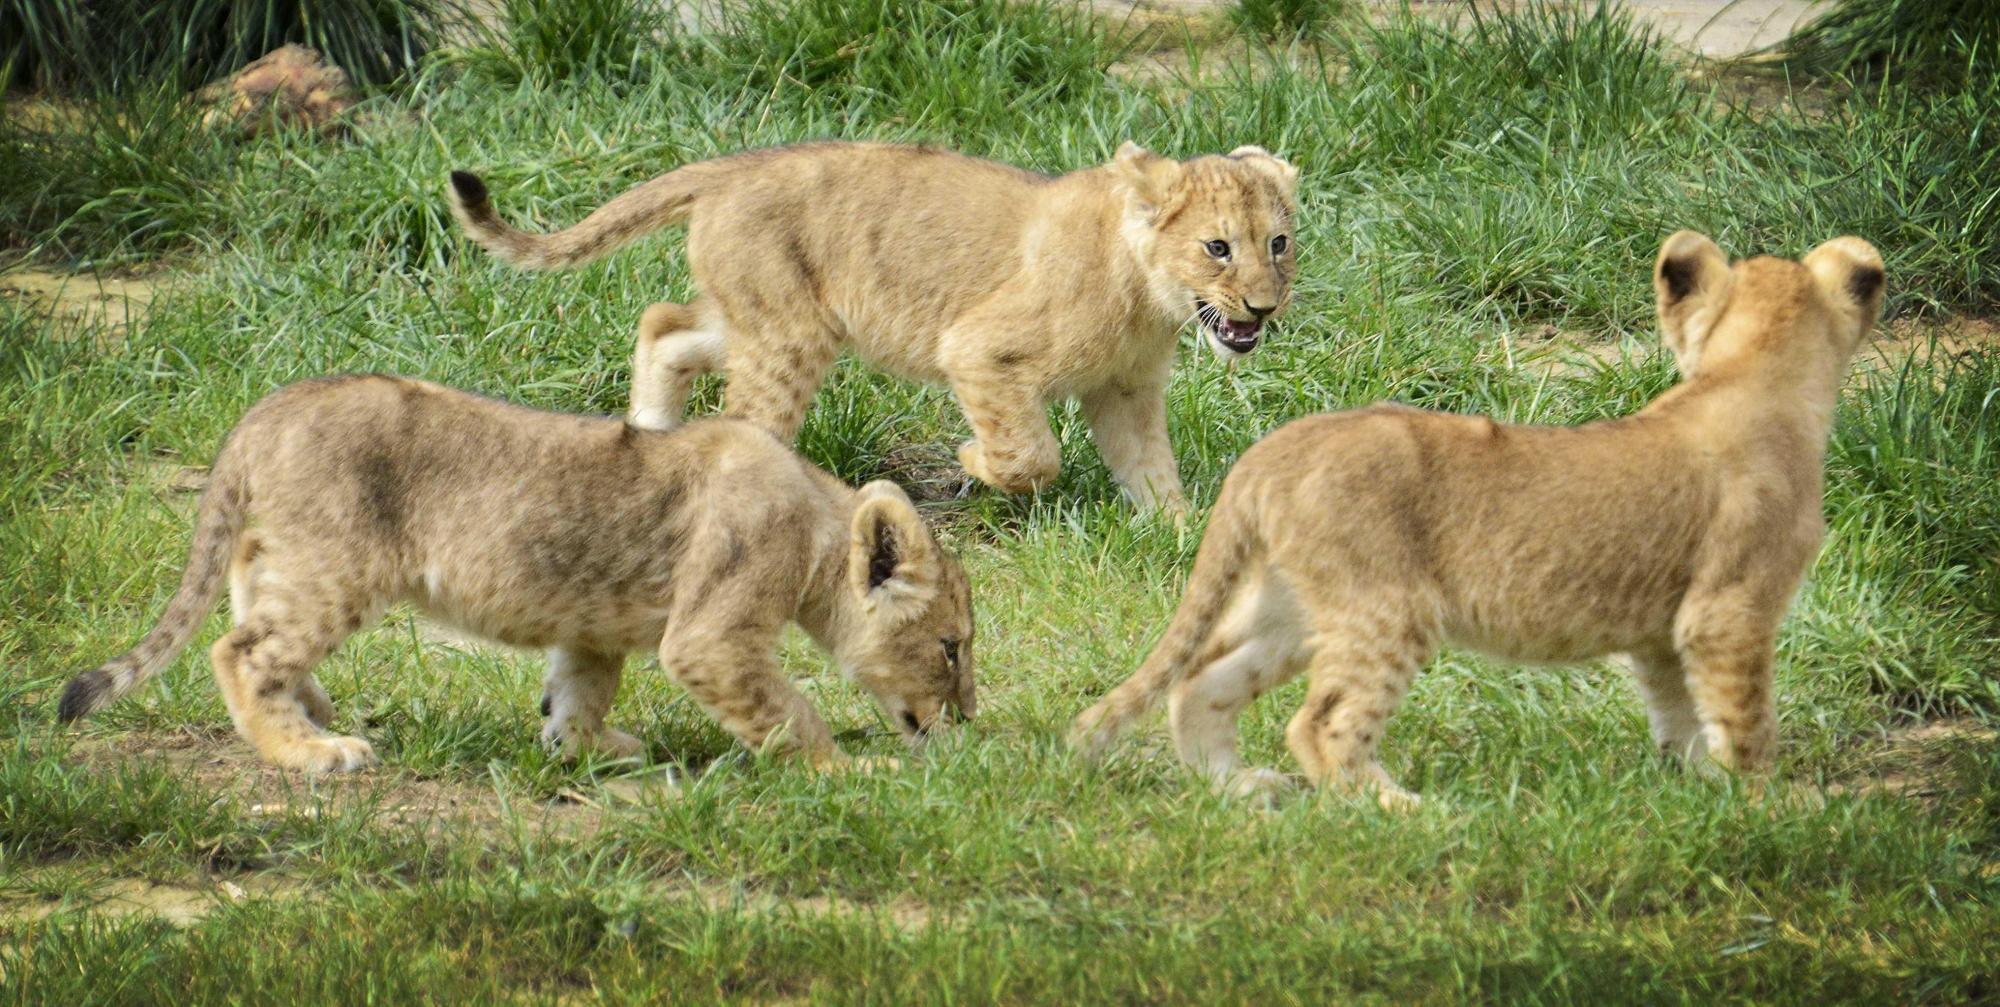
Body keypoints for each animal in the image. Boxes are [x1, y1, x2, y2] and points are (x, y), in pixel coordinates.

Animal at [56, 375, 976, 773]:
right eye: (953, 647)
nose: (967, 721)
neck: (817, 523)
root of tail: (269, 406)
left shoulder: (594, 627)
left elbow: (580, 689)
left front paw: (584, 747)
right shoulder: (712, 635)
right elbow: (789, 711)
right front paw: (846, 773)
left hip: (296, 549)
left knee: (249, 592)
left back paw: (313, 709)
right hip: (339, 564)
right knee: (240, 650)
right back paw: (311, 751)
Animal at [446, 140, 1300, 515]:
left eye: (1279, 243)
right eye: (1217, 248)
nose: (1262, 308)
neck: (1149, 299)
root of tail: (730, 166)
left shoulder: (1124, 391)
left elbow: (1151, 468)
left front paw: (1180, 538)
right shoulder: (980, 348)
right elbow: (1031, 455)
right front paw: (971, 461)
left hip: (764, 321)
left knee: (663, 325)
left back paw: (649, 439)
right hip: (787, 339)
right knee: (744, 420)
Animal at [1071, 232, 1886, 807]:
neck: (1749, 376)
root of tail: (1273, 449)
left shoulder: (1663, 631)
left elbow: (1680, 712)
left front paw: (1698, 794)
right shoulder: (1728, 610)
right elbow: (1746, 718)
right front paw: (1767, 809)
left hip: (1296, 606)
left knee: (1201, 678)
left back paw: (1241, 788)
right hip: (1387, 607)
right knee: (1322, 722)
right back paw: (1409, 812)